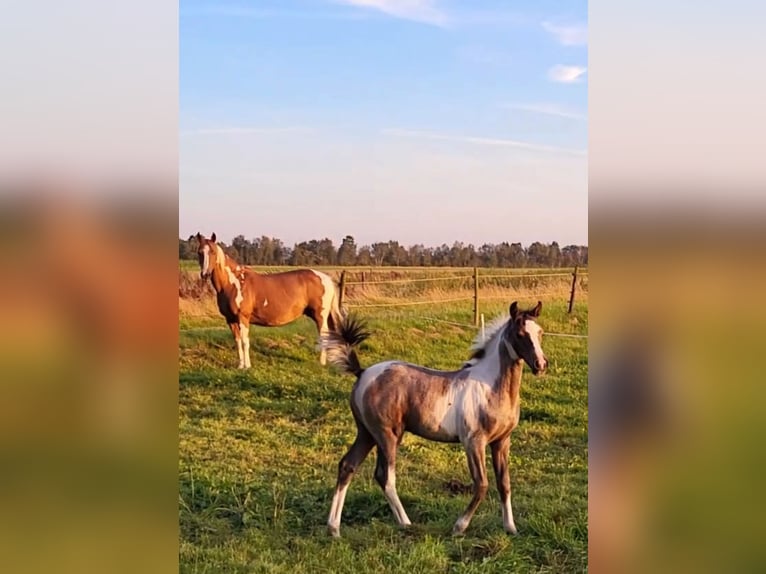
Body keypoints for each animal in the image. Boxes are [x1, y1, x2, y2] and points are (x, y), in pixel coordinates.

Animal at [194, 234, 344, 368]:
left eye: (213, 252)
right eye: (200, 252)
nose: (205, 274)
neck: (233, 283)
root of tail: (325, 278)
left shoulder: (243, 318)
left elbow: (245, 342)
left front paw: (247, 366)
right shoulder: (231, 320)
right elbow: (237, 342)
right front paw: (240, 365)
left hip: (320, 316)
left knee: (324, 337)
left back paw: (322, 363)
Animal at [320, 302, 548, 540]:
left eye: (540, 332)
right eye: (520, 334)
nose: (541, 364)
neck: (490, 387)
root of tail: (362, 373)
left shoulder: (502, 441)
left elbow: (504, 484)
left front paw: (510, 527)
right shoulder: (473, 442)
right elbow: (482, 485)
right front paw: (459, 527)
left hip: (367, 434)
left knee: (348, 466)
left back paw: (334, 528)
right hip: (387, 435)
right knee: (385, 477)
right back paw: (406, 523)